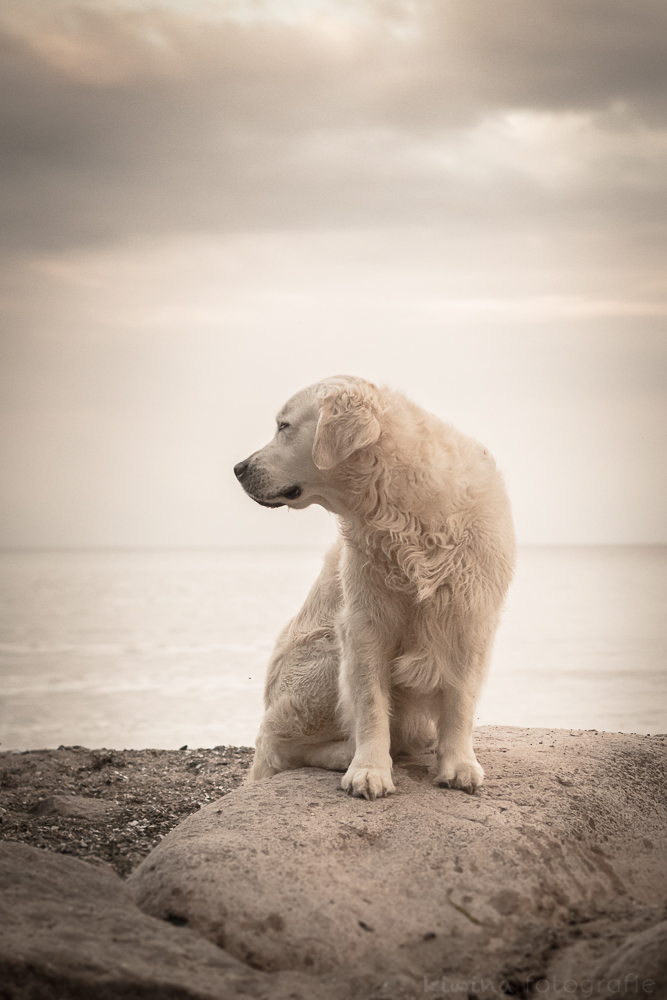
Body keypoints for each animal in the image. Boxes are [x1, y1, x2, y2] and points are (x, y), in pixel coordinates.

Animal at [235, 372, 516, 800]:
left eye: (284, 426)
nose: (238, 468)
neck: (405, 507)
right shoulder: (365, 620)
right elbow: (370, 702)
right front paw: (369, 769)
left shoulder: (470, 616)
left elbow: (460, 699)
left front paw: (458, 764)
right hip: (322, 655)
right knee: (278, 744)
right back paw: (349, 753)